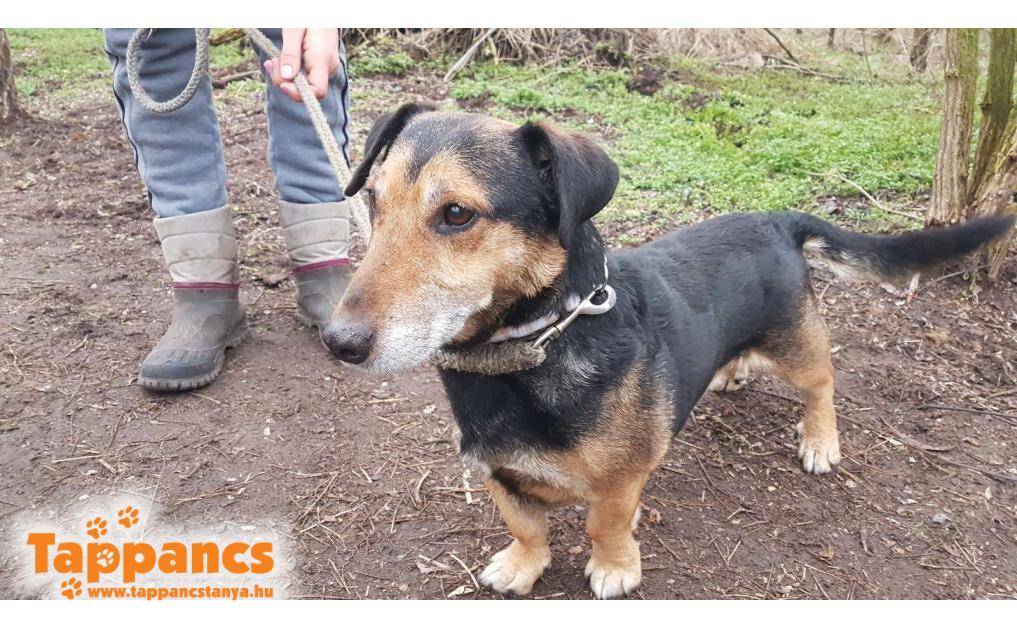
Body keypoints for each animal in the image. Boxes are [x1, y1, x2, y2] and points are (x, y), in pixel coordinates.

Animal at [322, 103, 1015, 599]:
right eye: (373, 202)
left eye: (458, 215)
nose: (339, 343)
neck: (537, 348)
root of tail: (777, 218)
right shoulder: (497, 471)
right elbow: (525, 525)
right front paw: (523, 564)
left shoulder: (622, 479)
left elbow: (603, 523)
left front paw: (615, 568)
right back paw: (729, 373)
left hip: (795, 346)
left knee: (822, 383)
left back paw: (820, 439)